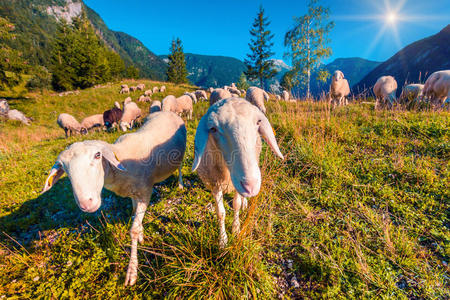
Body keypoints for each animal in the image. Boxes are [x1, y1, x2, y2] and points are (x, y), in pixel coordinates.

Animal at [43, 110, 186, 286]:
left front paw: (132, 270)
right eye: (63, 168)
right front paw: (141, 233)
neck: (120, 165)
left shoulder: (145, 192)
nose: (86, 204)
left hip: (179, 155)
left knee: (180, 167)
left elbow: (133, 229)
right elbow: (134, 213)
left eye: (98, 155)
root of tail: (165, 111)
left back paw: (180, 184)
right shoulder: (134, 194)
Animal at [191, 97, 284, 247]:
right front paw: (223, 240)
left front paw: (235, 229)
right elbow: (220, 213)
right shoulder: (215, 183)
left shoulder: (236, 185)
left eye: (258, 122)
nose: (250, 186)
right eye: (213, 128)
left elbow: (236, 205)